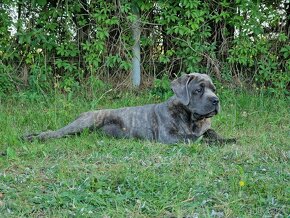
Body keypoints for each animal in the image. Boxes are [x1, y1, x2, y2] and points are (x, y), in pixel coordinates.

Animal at [22, 73, 236, 145]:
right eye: (199, 89)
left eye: (214, 89)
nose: (215, 100)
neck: (192, 119)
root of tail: (86, 112)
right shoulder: (169, 136)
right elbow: (194, 138)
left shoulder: (205, 128)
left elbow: (212, 133)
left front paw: (227, 139)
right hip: (82, 124)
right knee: (52, 133)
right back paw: (32, 137)